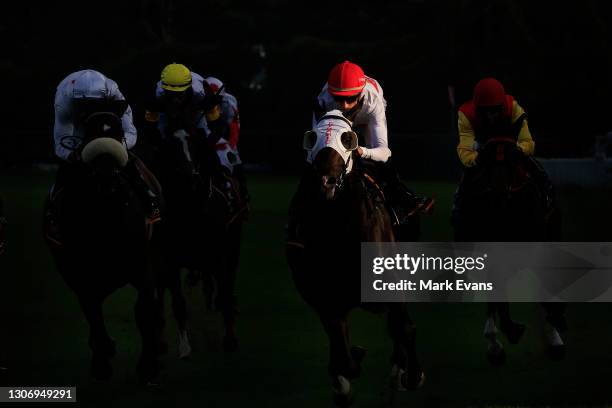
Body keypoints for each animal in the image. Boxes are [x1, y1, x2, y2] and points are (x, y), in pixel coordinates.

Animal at [288, 114, 426, 404]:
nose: (327, 181)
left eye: (347, 139)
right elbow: (341, 349)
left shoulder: (390, 283)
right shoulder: (323, 296)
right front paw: (349, 367)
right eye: (313, 138)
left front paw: (412, 374)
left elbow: (403, 327)